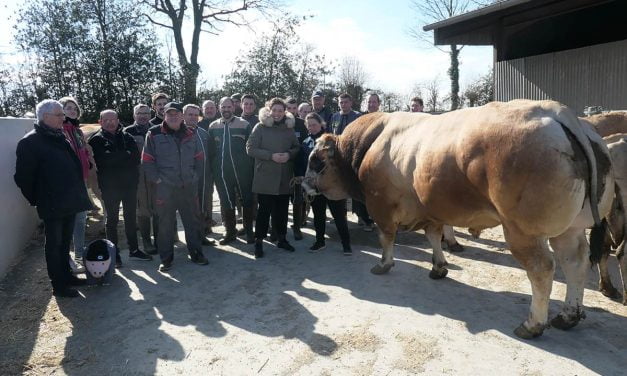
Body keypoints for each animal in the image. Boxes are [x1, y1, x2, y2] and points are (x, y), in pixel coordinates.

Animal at [306, 99, 616, 338]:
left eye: (316, 161)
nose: (303, 182)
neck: (370, 144)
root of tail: (556, 111)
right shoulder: (431, 208)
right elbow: (433, 236)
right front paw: (439, 267)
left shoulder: (381, 206)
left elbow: (387, 238)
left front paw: (383, 265)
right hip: (571, 228)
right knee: (575, 263)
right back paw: (568, 315)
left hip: (523, 231)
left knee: (542, 269)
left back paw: (532, 324)